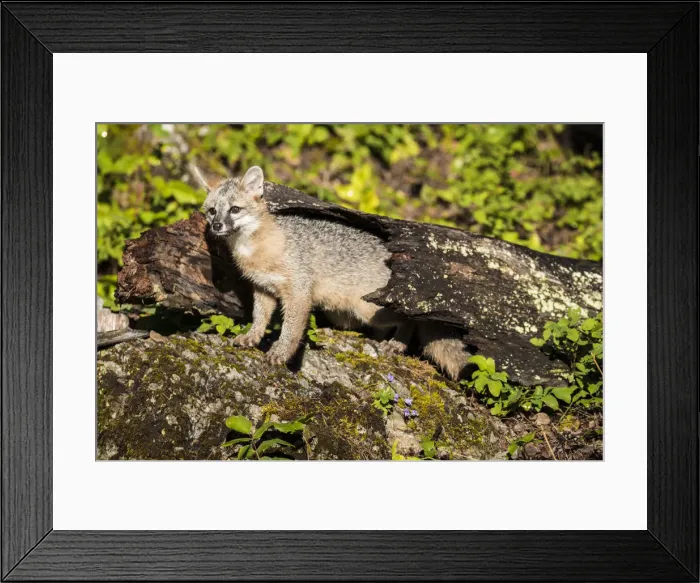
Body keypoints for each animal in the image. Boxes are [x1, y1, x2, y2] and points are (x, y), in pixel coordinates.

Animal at [194, 165, 468, 379]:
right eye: (212, 211)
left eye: (235, 209)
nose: (217, 226)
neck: (257, 249)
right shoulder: (264, 289)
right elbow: (259, 319)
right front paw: (251, 337)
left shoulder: (299, 293)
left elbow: (290, 331)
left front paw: (280, 353)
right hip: (343, 313)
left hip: (368, 309)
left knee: (409, 320)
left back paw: (396, 344)